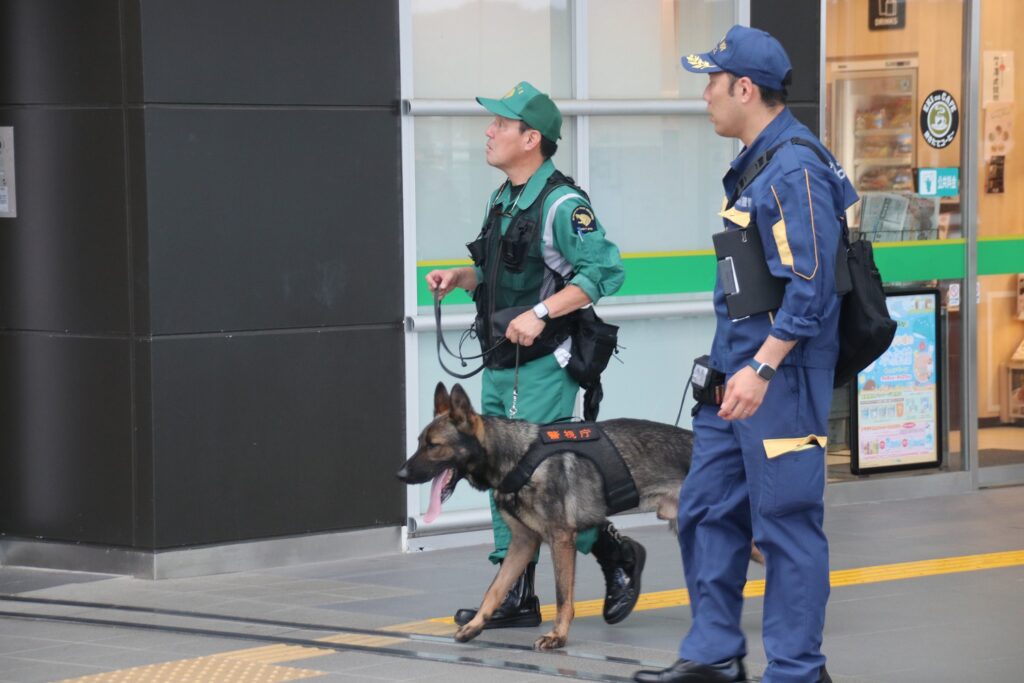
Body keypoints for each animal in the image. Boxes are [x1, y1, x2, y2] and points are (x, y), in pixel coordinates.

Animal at [395, 385, 692, 651]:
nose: (400, 474)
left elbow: (563, 598)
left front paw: (557, 636)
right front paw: (475, 625)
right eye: (419, 443)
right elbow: (495, 589)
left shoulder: (561, 540)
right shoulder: (522, 543)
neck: (517, 458)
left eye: (434, 446)